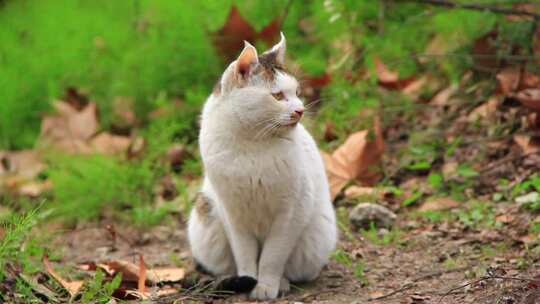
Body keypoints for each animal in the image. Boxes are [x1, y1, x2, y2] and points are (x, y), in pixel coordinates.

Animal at [188, 32, 336, 300]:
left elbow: (272, 257)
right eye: (277, 96)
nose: (300, 110)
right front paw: (249, 280)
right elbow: (245, 254)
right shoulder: (232, 214)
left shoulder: (290, 213)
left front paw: (266, 285)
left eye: (297, 92)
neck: (253, 144)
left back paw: (283, 283)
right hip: (207, 217)